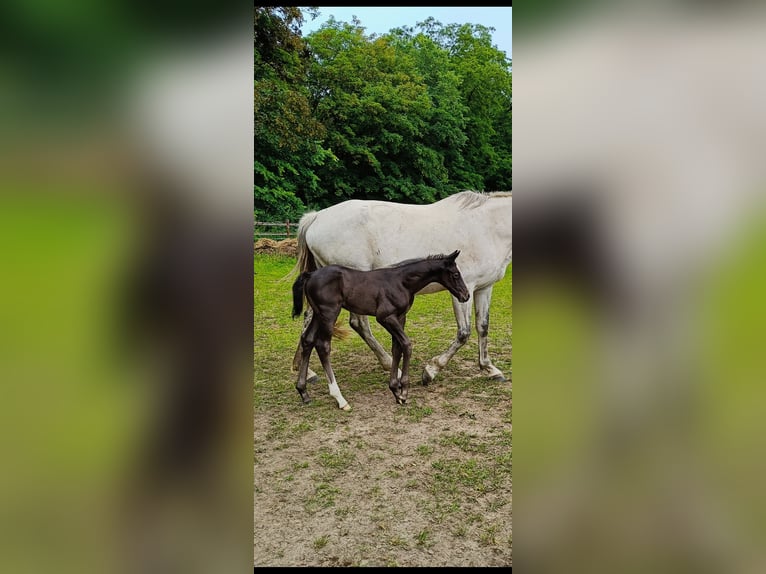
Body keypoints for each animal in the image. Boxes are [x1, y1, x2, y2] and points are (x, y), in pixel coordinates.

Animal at [292, 192, 512, 388]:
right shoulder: (463, 290)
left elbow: (482, 327)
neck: (487, 228)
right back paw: (391, 365)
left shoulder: (483, 288)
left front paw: (490, 369)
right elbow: (464, 333)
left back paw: (306, 372)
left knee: (309, 318)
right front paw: (430, 371)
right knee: (359, 324)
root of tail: (316, 217)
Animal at [292, 251, 472, 410]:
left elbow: (397, 348)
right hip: (329, 313)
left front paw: (395, 390)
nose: (466, 295)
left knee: (308, 340)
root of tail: (310, 275)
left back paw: (303, 392)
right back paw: (340, 399)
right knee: (323, 346)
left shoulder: (400, 317)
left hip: (318, 314)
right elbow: (407, 345)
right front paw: (403, 392)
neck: (402, 282)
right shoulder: (385, 317)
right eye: (456, 274)